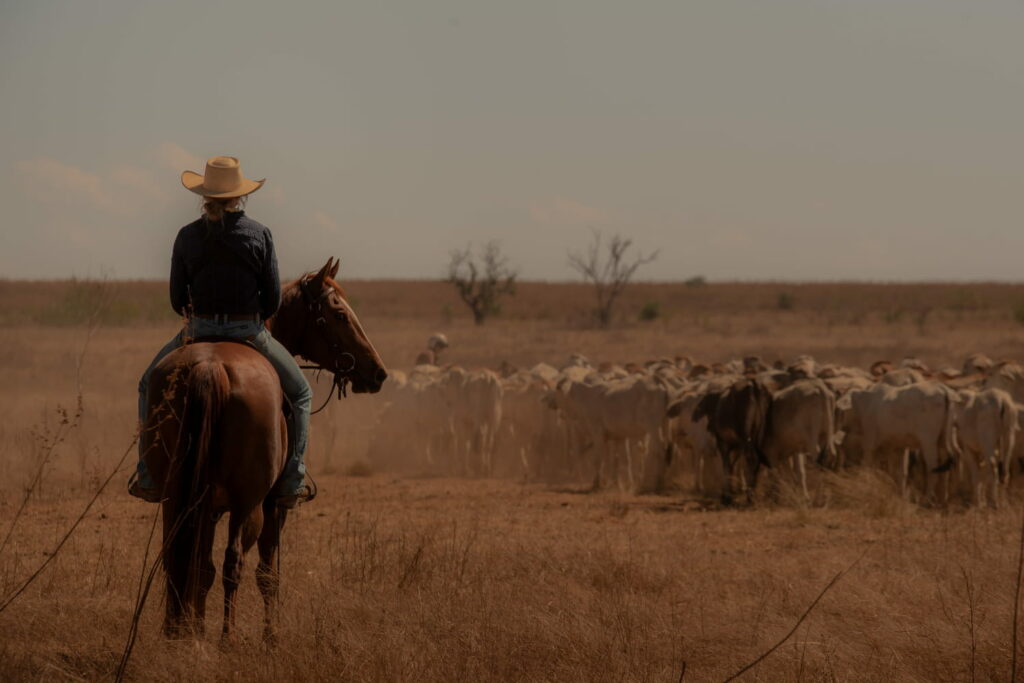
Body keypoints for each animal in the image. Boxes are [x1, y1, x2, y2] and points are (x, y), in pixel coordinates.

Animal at [142, 258, 385, 643]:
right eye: (340, 315)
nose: (377, 372)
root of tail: (210, 367)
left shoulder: (207, 506)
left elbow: (200, 566)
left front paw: (196, 629)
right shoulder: (273, 506)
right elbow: (268, 572)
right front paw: (271, 636)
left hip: (175, 495)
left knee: (179, 557)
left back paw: (179, 632)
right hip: (249, 502)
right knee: (234, 561)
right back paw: (226, 638)